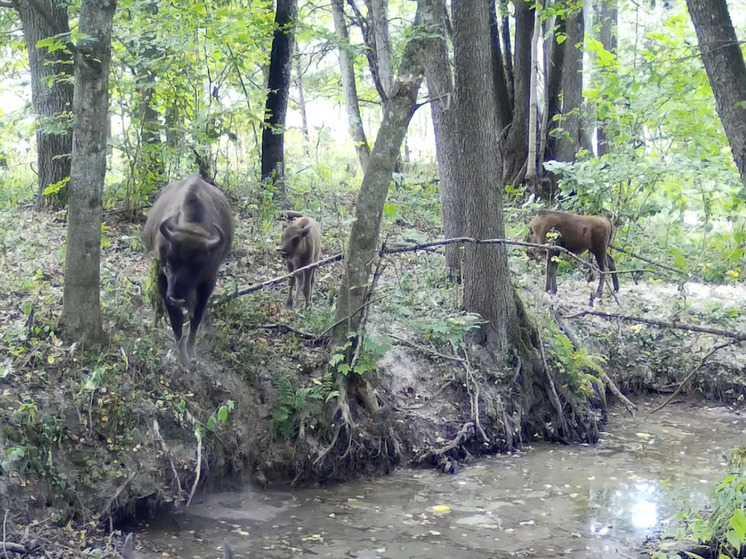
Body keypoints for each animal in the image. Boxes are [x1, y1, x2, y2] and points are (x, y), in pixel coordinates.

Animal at [140, 175, 231, 368]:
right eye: (169, 262)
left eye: (199, 266)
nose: (178, 298)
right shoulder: (162, 279)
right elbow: (176, 322)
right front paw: (184, 359)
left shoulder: (208, 281)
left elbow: (196, 317)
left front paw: (191, 352)